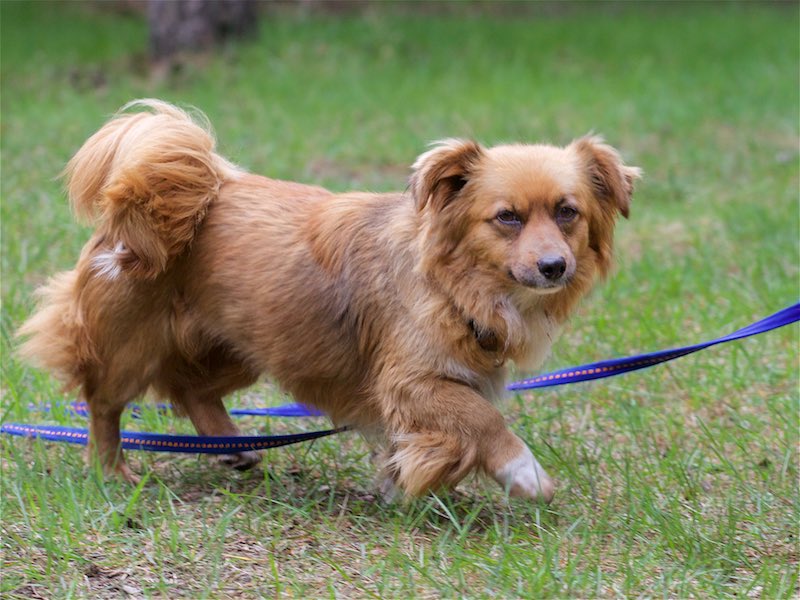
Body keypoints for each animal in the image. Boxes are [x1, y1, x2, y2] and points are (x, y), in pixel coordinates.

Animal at [17, 100, 640, 502]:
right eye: (507, 218)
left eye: (567, 212)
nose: (554, 266)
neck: (458, 287)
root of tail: (188, 185)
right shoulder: (413, 382)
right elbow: (481, 418)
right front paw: (524, 472)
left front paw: (397, 484)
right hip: (131, 345)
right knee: (104, 405)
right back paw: (112, 471)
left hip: (250, 343)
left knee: (191, 389)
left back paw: (231, 444)